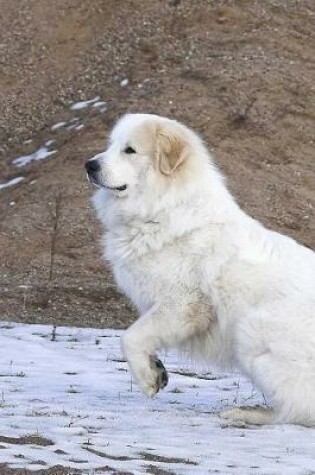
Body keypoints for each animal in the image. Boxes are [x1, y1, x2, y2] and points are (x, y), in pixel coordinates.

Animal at [86, 113, 315, 426]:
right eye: (110, 145)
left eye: (129, 150)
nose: (89, 165)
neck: (164, 208)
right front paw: (156, 369)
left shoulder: (182, 305)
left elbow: (130, 337)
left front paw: (147, 378)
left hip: (250, 331)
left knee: (297, 409)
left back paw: (247, 413)